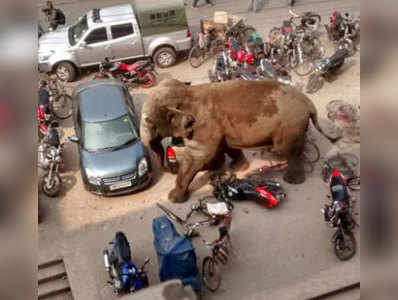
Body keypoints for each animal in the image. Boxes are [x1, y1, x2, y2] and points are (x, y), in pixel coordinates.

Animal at [140, 78, 336, 203]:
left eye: (150, 122)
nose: (170, 167)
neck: (185, 92)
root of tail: (309, 103)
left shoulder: (203, 123)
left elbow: (199, 156)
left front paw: (174, 198)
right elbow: (225, 145)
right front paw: (237, 168)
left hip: (289, 124)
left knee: (286, 148)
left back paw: (292, 180)